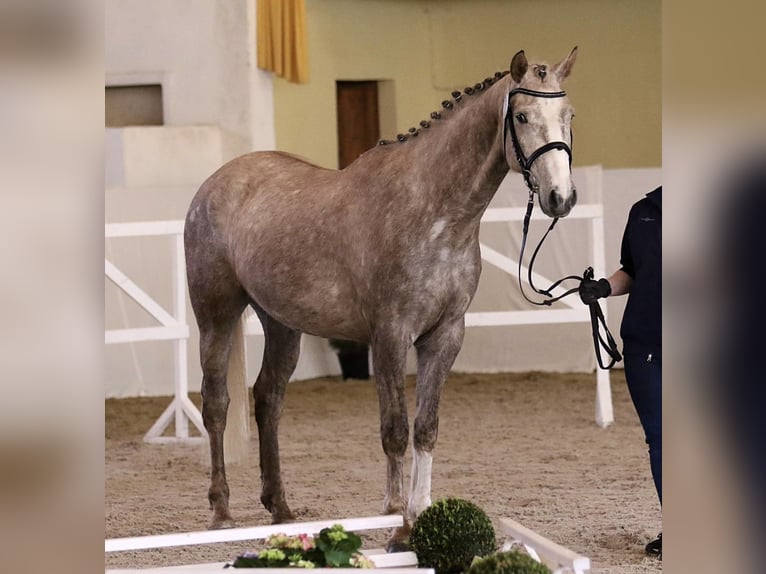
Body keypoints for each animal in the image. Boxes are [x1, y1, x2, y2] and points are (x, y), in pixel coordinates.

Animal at [184, 47, 578, 549]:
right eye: (523, 116)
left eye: (568, 115)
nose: (560, 197)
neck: (433, 212)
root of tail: (216, 182)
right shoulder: (390, 334)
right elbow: (395, 430)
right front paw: (395, 520)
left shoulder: (445, 336)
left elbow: (426, 429)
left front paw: (418, 515)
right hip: (215, 315)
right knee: (216, 404)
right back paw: (220, 510)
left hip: (282, 323)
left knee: (268, 399)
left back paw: (280, 508)